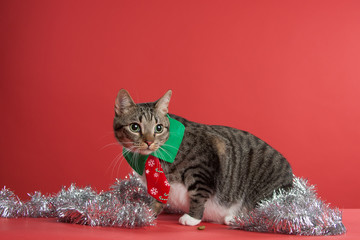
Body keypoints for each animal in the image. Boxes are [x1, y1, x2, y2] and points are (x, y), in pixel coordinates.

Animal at [114, 89, 294, 226]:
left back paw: (235, 217)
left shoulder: (203, 166)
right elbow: (158, 197)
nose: (149, 141)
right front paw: (146, 213)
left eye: (158, 128)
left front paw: (192, 218)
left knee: (265, 210)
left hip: (266, 189)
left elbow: (198, 193)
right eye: (135, 127)